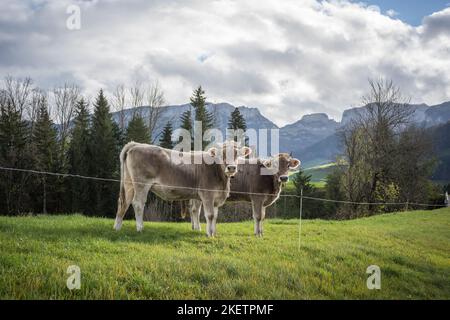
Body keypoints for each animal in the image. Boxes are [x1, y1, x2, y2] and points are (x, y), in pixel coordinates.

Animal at [114, 141, 251, 236]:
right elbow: (210, 215)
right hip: (141, 184)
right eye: (222, 154)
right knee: (138, 204)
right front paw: (209, 234)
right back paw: (140, 228)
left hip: (129, 184)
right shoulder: (207, 195)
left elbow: (213, 216)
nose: (231, 168)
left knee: (123, 202)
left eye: (237, 154)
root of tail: (136, 144)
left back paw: (117, 227)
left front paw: (212, 232)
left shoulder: (215, 198)